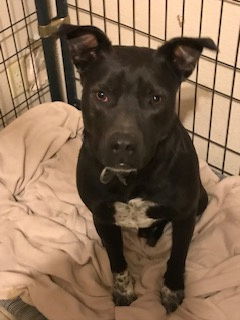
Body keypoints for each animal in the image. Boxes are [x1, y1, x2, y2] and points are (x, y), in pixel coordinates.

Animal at [60, 24, 218, 312]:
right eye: (102, 94)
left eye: (155, 98)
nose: (123, 145)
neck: (133, 179)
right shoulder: (102, 216)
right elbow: (116, 260)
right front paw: (123, 290)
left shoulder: (185, 216)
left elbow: (177, 257)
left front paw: (172, 290)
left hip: (200, 198)